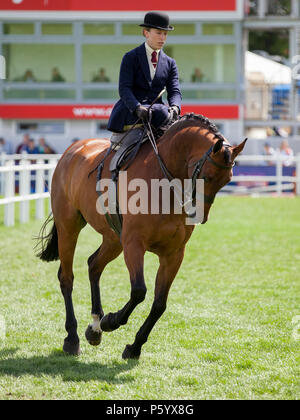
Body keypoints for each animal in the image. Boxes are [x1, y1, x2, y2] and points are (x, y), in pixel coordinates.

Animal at [35, 114, 246, 358]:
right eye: (208, 176)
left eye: (227, 180)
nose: (199, 215)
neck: (163, 184)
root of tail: (73, 149)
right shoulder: (134, 244)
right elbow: (139, 291)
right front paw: (112, 321)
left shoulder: (174, 254)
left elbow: (159, 304)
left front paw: (134, 346)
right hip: (69, 227)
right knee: (66, 277)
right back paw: (73, 337)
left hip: (113, 239)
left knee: (94, 265)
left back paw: (95, 326)